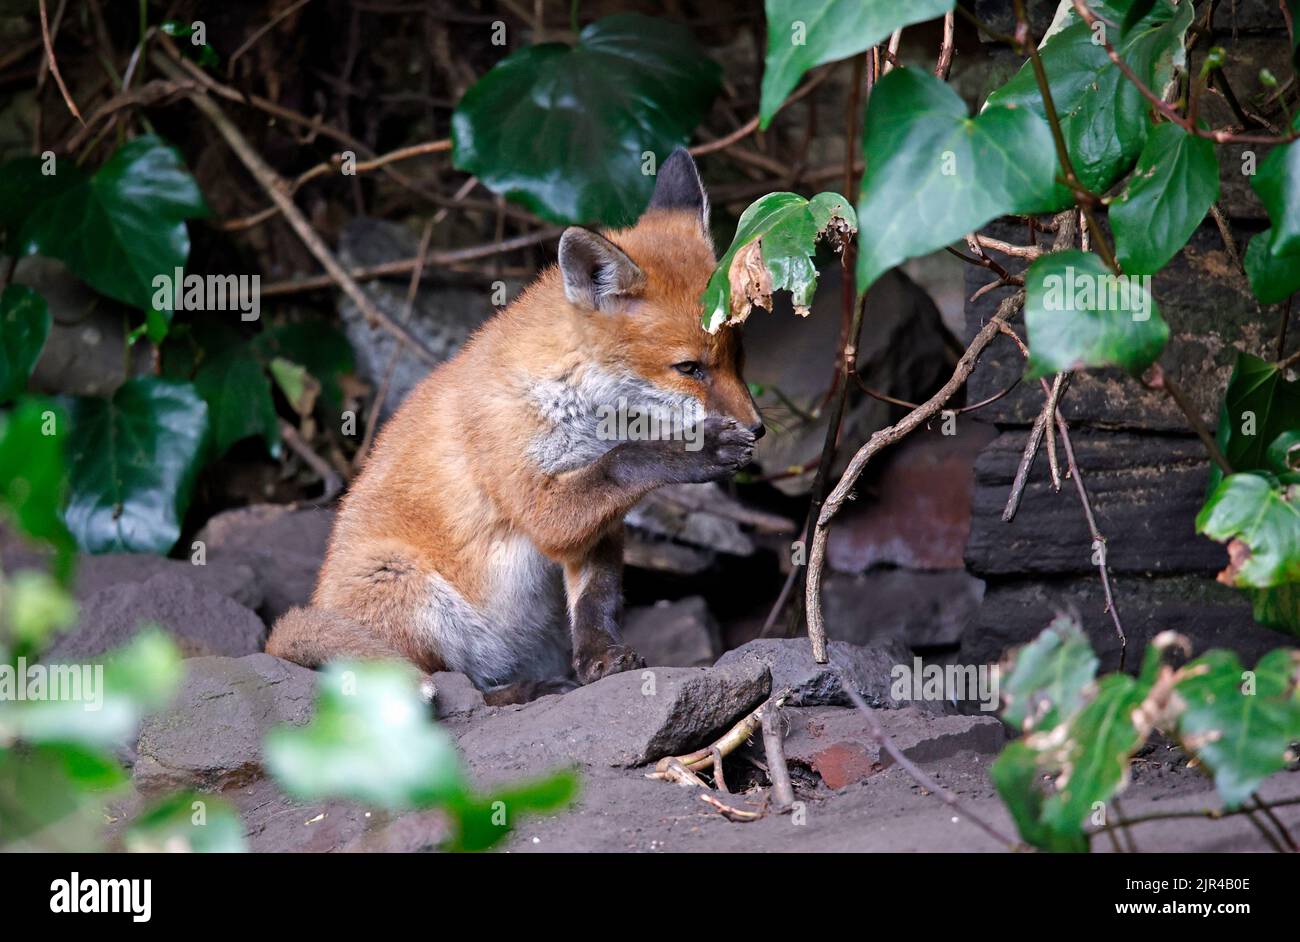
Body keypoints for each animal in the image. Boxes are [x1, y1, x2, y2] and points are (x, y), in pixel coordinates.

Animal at [266, 149, 764, 703]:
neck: (577, 405)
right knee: (452, 691)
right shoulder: (539, 502)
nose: (758, 427)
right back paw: (524, 690)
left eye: (738, 359)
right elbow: (625, 461)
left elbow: (595, 599)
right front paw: (700, 452)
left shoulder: (596, 526)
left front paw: (599, 659)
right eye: (689, 368)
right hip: (407, 585)